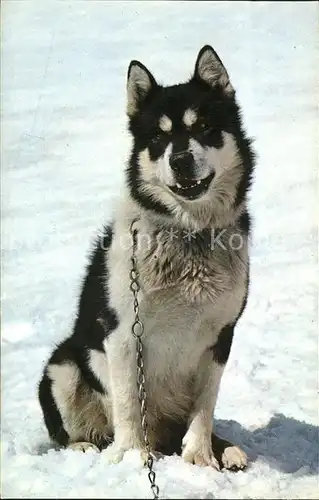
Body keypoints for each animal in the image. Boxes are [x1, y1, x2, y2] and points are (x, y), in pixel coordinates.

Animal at [38, 45, 256, 470]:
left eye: (204, 127)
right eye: (157, 137)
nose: (181, 160)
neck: (189, 237)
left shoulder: (221, 334)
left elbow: (205, 406)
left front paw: (200, 456)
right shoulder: (123, 332)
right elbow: (127, 403)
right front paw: (132, 457)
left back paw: (225, 448)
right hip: (63, 367)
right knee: (72, 428)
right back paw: (87, 446)